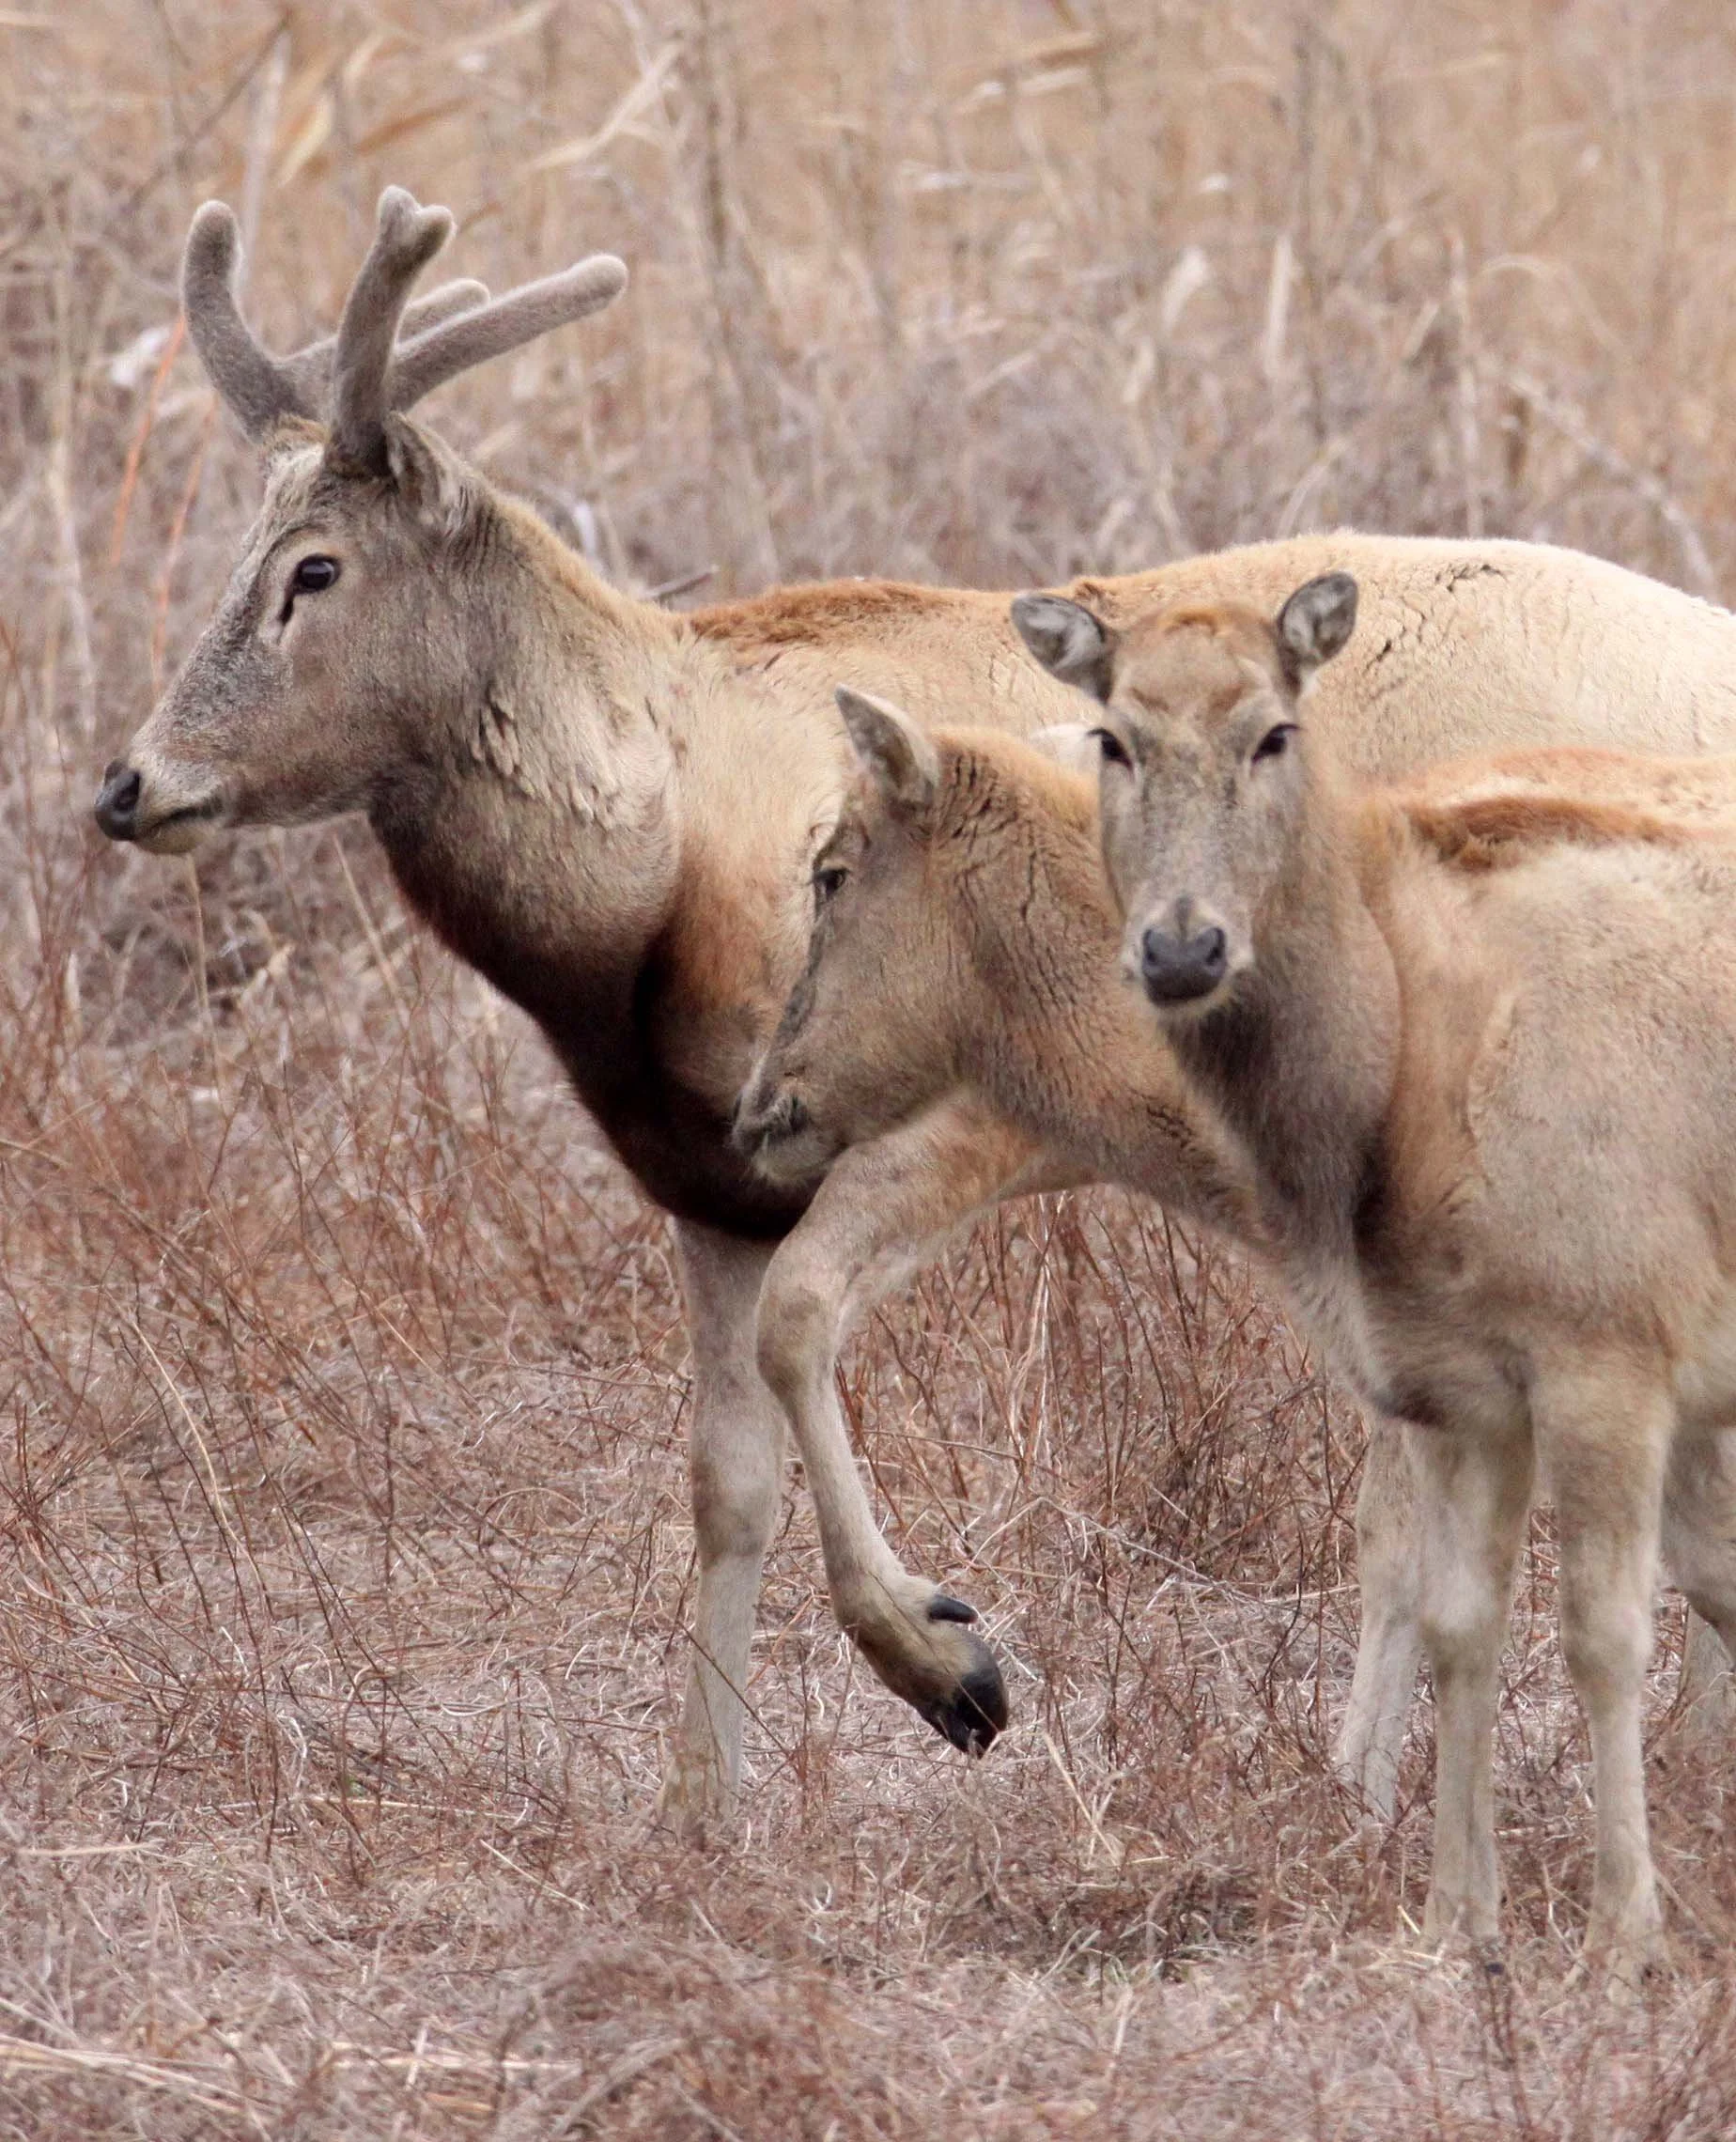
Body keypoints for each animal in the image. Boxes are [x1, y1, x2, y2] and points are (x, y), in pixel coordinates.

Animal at [97, 186, 1736, 1837]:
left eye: (313, 569)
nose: (129, 784)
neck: (660, 875)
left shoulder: (957, 1106)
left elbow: (806, 1329)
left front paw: (949, 1662)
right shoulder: (707, 1180)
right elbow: (723, 1480)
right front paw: (702, 1807)